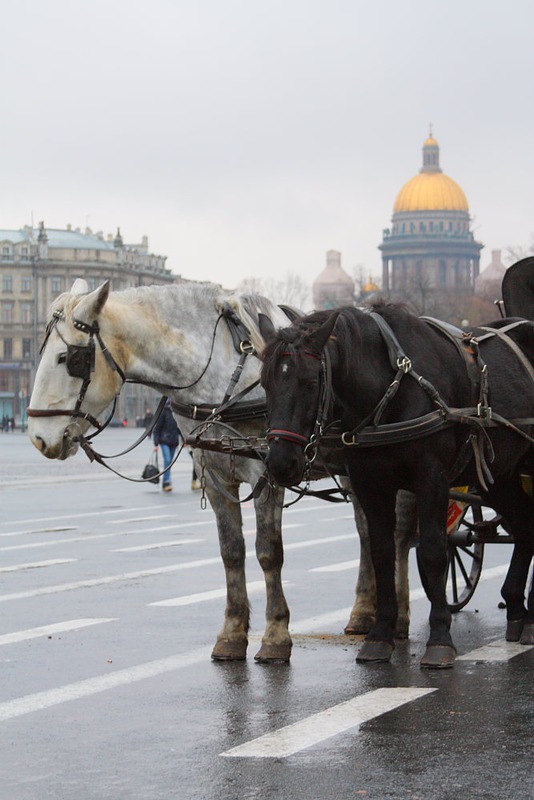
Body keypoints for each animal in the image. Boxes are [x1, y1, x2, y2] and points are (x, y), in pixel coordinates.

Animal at [27, 278, 416, 660]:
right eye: (41, 353)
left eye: (69, 358)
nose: (38, 437)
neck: (222, 375)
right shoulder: (213, 477)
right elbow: (231, 551)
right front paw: (232, 633)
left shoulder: (267, 474)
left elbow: (268, 551)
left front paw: (276, 635)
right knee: (367, 531)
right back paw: (363, 612)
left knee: (397, 534)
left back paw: (398, 618)